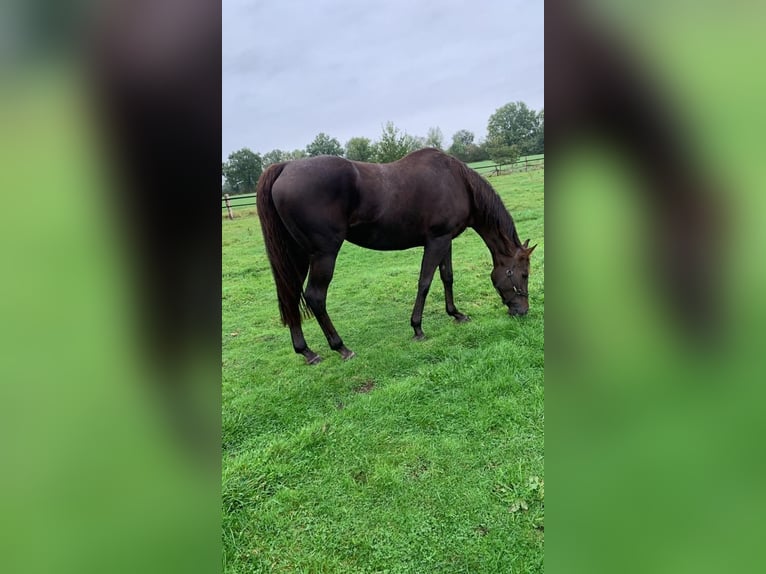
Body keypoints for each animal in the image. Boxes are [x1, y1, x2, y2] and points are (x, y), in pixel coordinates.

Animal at [255, 148, 536, 364]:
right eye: (523, 274)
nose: (522, 311)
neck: (457, 181)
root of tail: (285, 167)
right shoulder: (436, 241)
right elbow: (425, 283)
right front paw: (418, 328)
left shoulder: (445, 241)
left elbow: (447, 277)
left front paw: (456, 314)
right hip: (323, 255)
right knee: (315, 297)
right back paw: (341, 347)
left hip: (298, 255)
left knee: (290, 294)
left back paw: (307, 352)